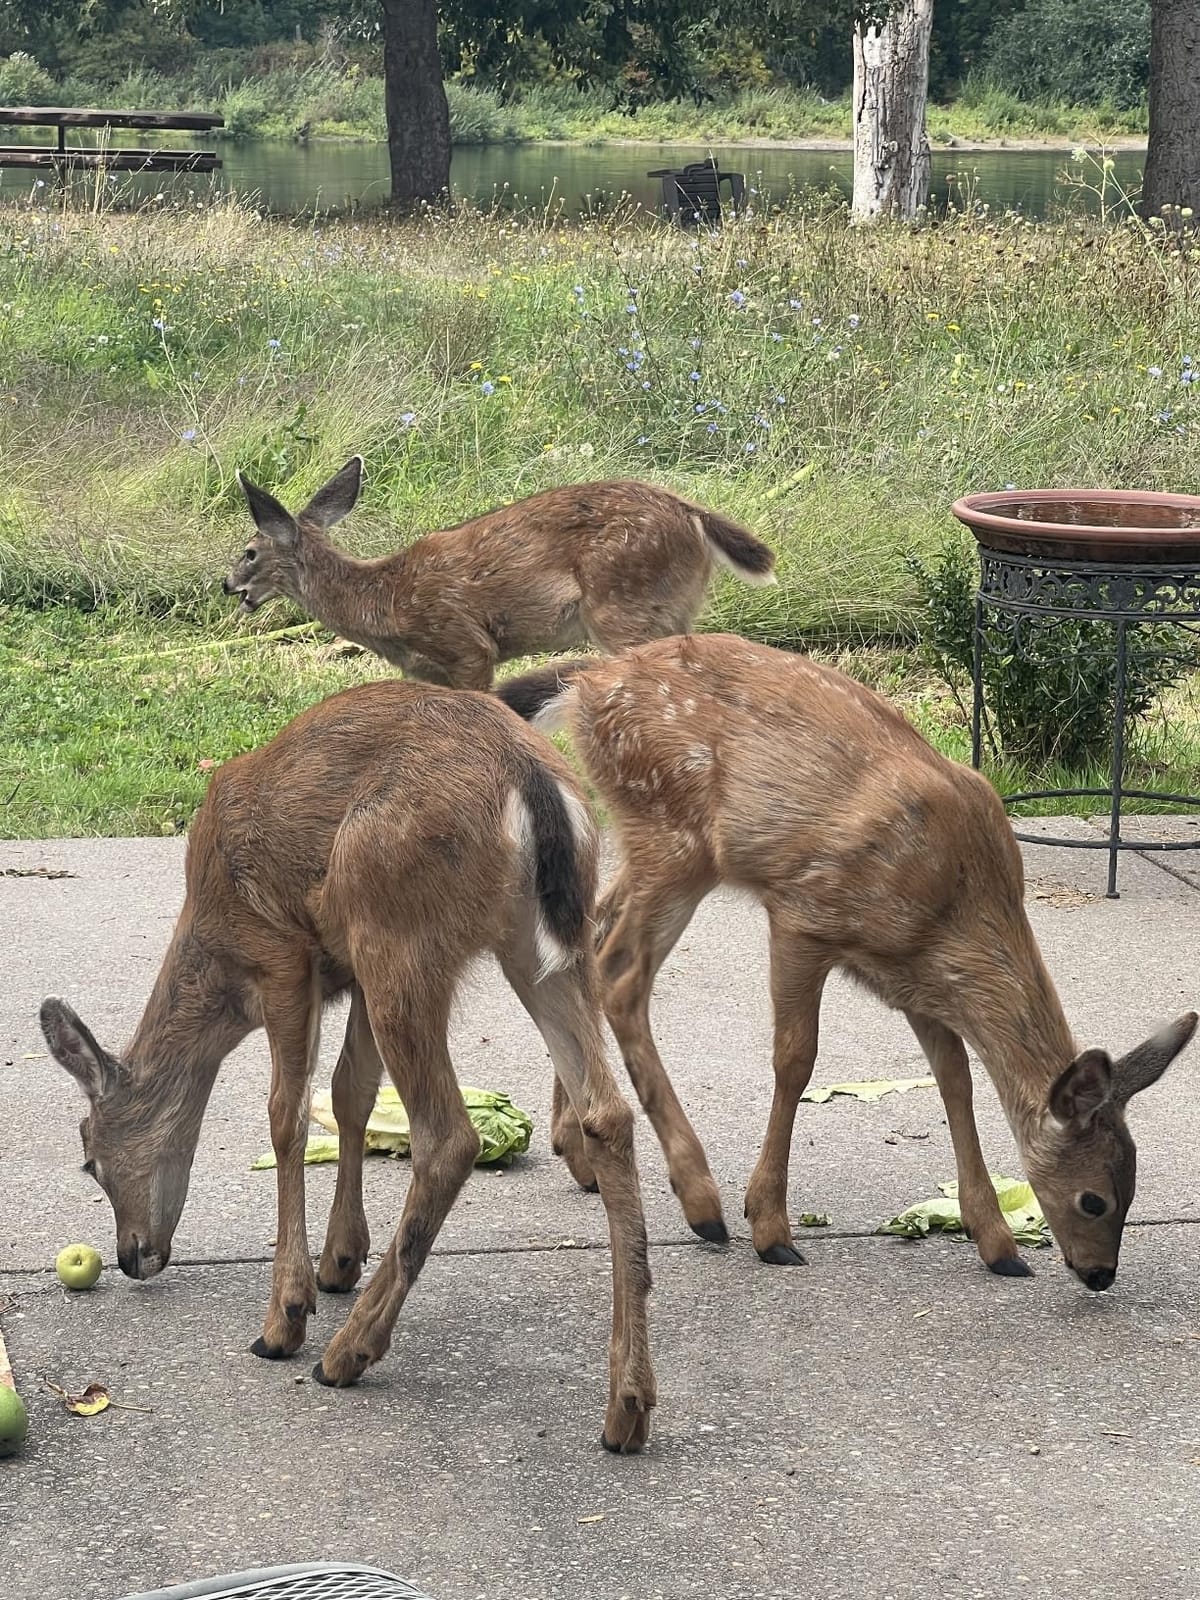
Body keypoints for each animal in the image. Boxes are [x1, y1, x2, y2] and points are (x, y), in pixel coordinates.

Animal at [39, 678, 656, 1453]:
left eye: (89, 1159)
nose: (131, 1255)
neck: (215, 955)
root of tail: (536, 783)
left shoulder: (281, 955)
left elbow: (288, 1116)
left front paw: (286, 1314)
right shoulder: (348, 974)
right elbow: (349, 1092)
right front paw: (338, 1259)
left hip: (394, 924)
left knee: (449, 1137)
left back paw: (346, 1353)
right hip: (535, 946)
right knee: (608, 1113)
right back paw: (627, 1408)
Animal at [223, 458, 776, 690]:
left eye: (248, 552)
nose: (227, 585)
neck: (384, 601)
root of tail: (693, 514)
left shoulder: (466, 645)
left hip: (624, 607)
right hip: (673, 608)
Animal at [496, 634, 1197, 1292]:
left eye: (1134, 1188)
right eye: (1094, 1199)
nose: (1100, 1274)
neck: (955, 905)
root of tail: (592, 679)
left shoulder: (917, 977)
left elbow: (955, 1076)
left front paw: (997, 1243)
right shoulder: (802, 914)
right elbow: (795, 1060)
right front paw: (770, 1227)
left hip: (661, 848)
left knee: (592, 933)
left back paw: (577, 1148)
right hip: (675, 834)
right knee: (620, 975)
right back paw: (702, 1202)